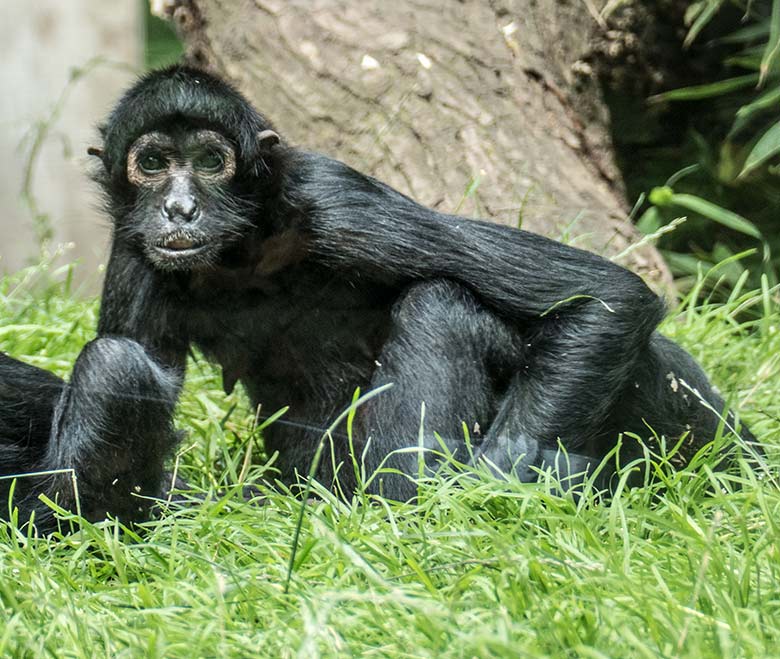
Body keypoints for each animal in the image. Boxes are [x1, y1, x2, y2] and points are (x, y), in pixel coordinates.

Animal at [0, 65, 760, 532]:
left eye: (211, 162)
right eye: (153, 164)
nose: (179, 208)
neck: (244, 256)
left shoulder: (338, 200)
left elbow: (605, 296)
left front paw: (501, 493)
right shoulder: (137, 248)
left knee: (441, 302)